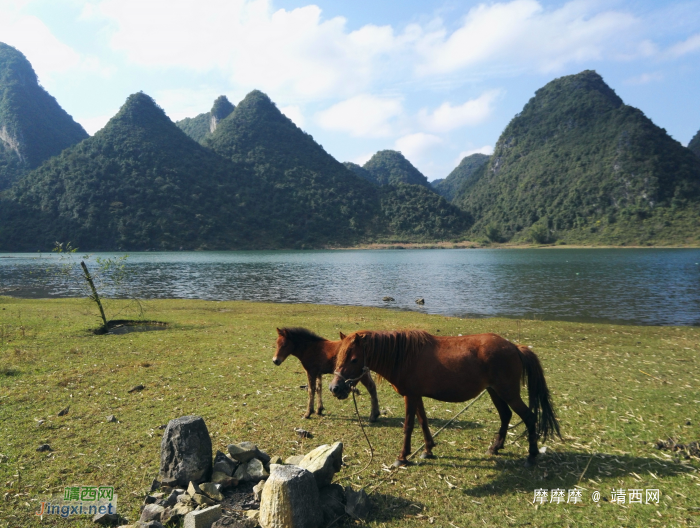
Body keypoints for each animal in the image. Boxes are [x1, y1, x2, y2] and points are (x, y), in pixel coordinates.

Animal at [330, 330, 564, 466]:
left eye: (354, 359)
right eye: (339, 356)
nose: (335, 388)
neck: (404, 357)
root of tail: (514, 347)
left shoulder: (410, 396)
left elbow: (408, 426)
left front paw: (402, 457)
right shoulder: (417, 396)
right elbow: (423, 422)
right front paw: (428, 450)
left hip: (508, 392)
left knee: (529, 417)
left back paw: (532, 455)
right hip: (495, 391)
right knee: (506, 416)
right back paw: (495, 448)